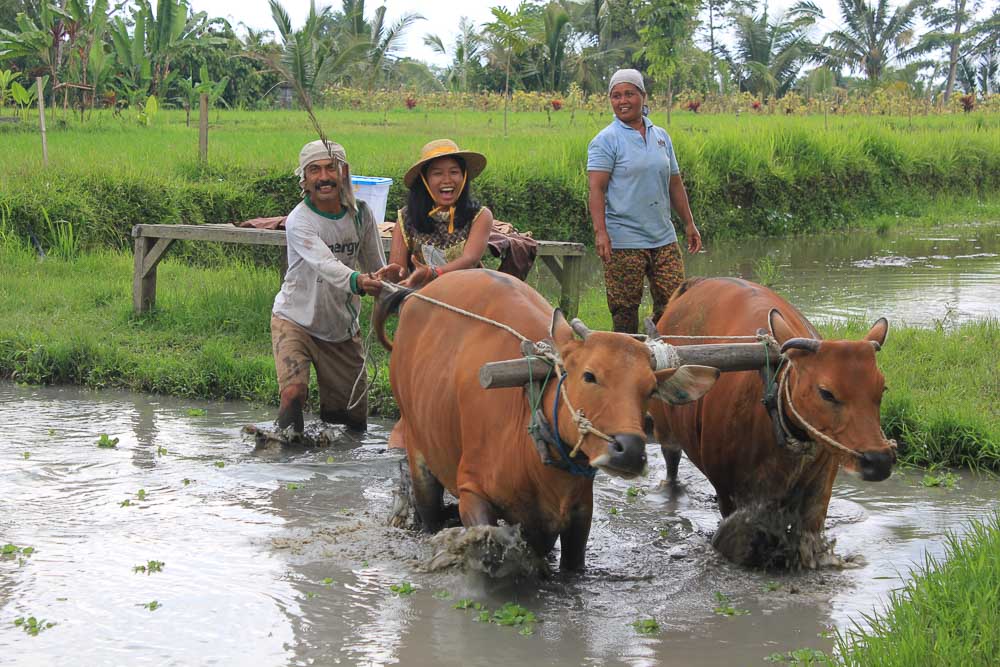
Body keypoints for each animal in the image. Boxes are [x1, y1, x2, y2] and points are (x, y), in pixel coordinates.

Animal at [376, 268, 720, 572]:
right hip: (419, 454)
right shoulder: (472, 494)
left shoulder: (578, 515)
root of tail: (417, 295)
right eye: (589, 375)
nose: (631, 451)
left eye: (650, 389)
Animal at [652, 276, 896, 568]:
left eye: (882, 389)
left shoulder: (819, 491)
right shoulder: (728, 492)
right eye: (826, 393)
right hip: (664, 424)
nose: (878, 460)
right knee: (671, 459)